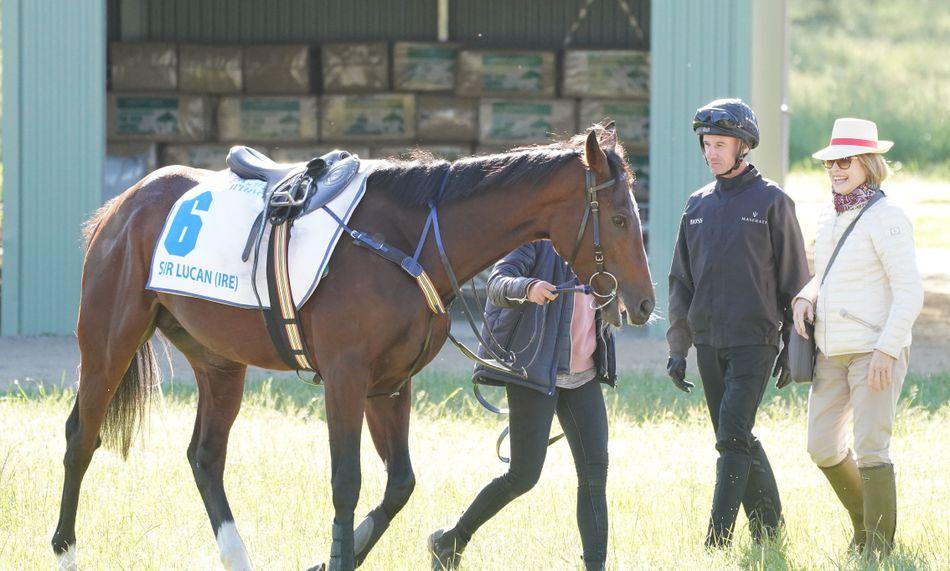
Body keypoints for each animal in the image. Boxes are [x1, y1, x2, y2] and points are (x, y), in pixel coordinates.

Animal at [50, 123, 656, 568]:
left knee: (205, 457)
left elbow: (399, 485)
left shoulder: (388, 386)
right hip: (107, 344)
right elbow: (347, 484)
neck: (406, 243)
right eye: (619, 218)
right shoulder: (345, 379)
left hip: (220, 363)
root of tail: (125, 205)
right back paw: (65, 550)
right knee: (82, 437)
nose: (645, 302)